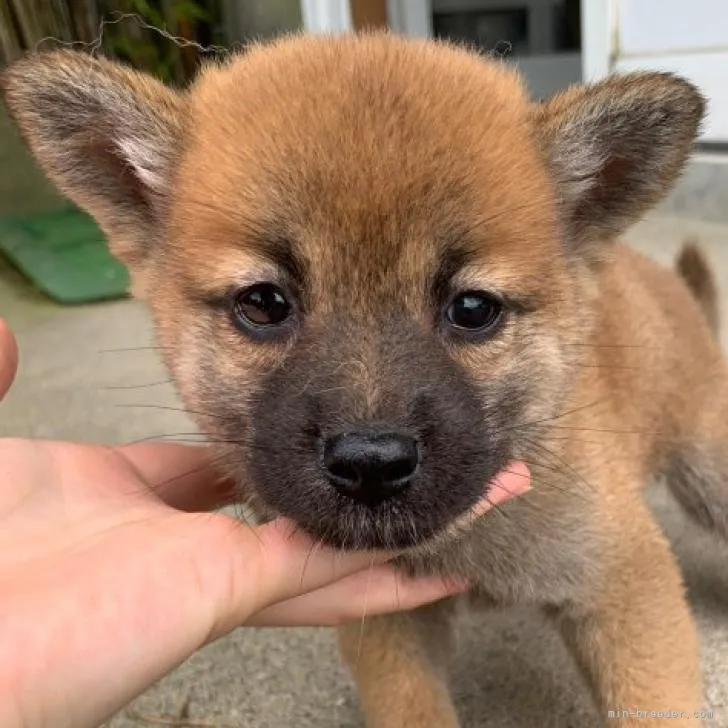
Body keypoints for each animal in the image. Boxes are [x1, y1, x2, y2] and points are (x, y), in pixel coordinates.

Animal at [4, 29, 724, 728]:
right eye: (263, 303)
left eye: (472, 309)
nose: (371, 463)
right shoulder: (386, 626)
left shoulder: (624, 582)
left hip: (709, 469)